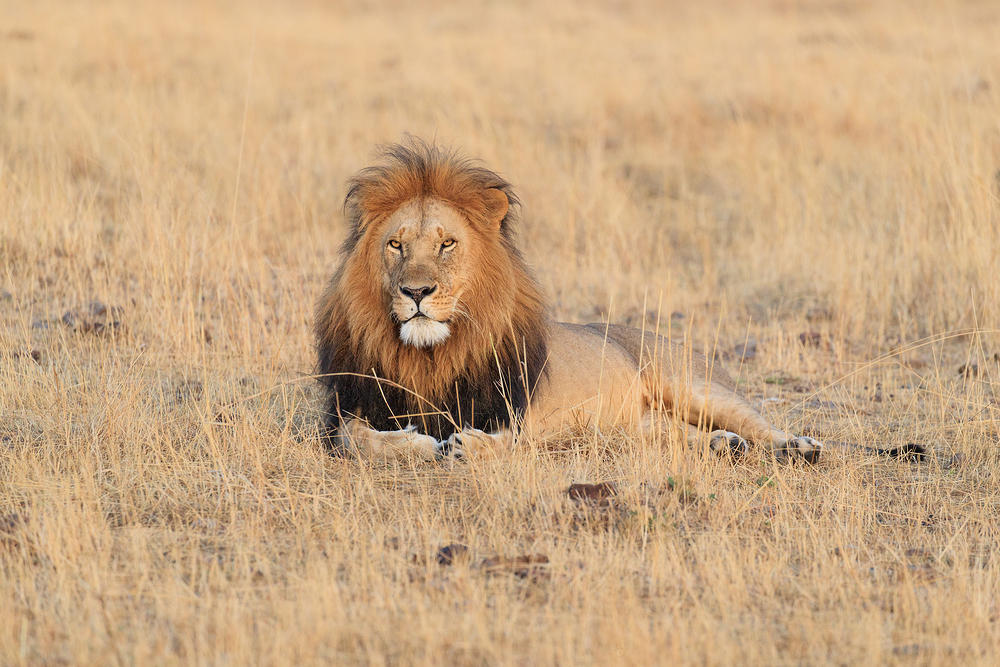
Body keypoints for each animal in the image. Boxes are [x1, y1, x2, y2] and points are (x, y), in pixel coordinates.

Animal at [314, 140, 824, 463]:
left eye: (447, 244)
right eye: (395, 245)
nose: (416, 292)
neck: (430, 356)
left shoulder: (518, 409)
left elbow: (505, 438)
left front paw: (466, 446)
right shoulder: (349, 408)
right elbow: (354, 441)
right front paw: (419, 444)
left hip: (692, 385)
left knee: (759, 424)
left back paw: (798, 447)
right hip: (636, 429)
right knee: (682, 436)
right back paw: (724, 445)